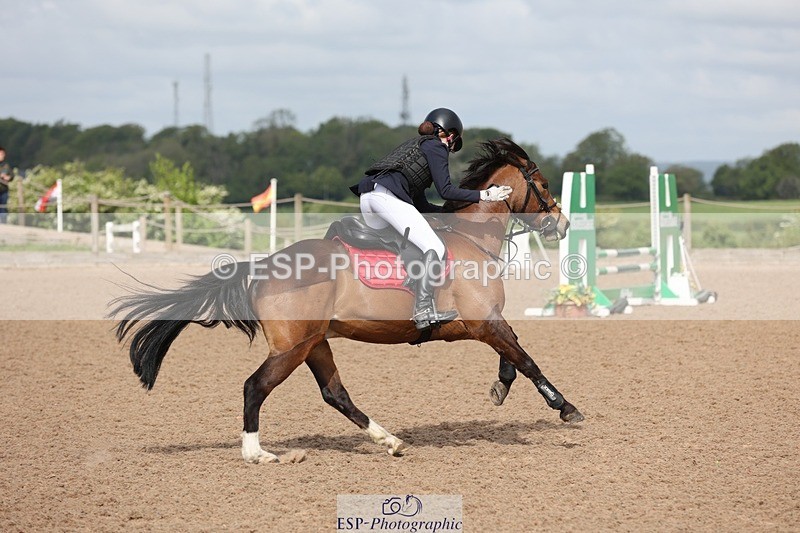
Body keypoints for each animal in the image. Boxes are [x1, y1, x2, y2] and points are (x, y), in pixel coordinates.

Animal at [111, 138, 583, 464]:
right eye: (543, 185)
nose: (562, 225)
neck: (472, 239)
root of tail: (261, 268)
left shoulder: (483, 323)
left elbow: (514, 353)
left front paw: (500, 388)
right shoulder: (483, 321)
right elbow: (527, 359)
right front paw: (565, 407)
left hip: (314, 343)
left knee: (335, 393)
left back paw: (390, 440)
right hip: (292, 347)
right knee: (255, 386)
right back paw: (257, 454)